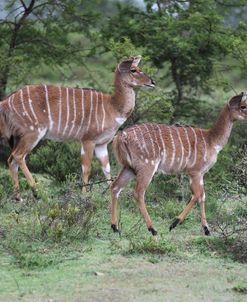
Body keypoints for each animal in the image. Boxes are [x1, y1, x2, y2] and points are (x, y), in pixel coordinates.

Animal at [0, 56, 154, 201]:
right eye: (133, 70)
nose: (152, 82)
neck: (113, 107)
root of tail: (5, 102)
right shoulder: (87, 140)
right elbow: (86, 168)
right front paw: (84, 195)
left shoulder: (102, 144)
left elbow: (107, 168)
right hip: (32, 132)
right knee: (18, 156)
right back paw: (38, 193)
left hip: (20, 136)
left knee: (11, 159)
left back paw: (19, 197)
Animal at [111, 92, 247, 236]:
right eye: (243, 106)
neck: (212, 140)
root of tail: (120, 137)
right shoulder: (194, 171)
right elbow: (197, 194)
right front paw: (174, 224)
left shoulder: (200, 174)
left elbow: (202, 196)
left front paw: (206, 230)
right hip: (147, 166)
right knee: (138, 192)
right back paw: (153, 229)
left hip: (128, 167)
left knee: (115, 187)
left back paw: (115, 227)